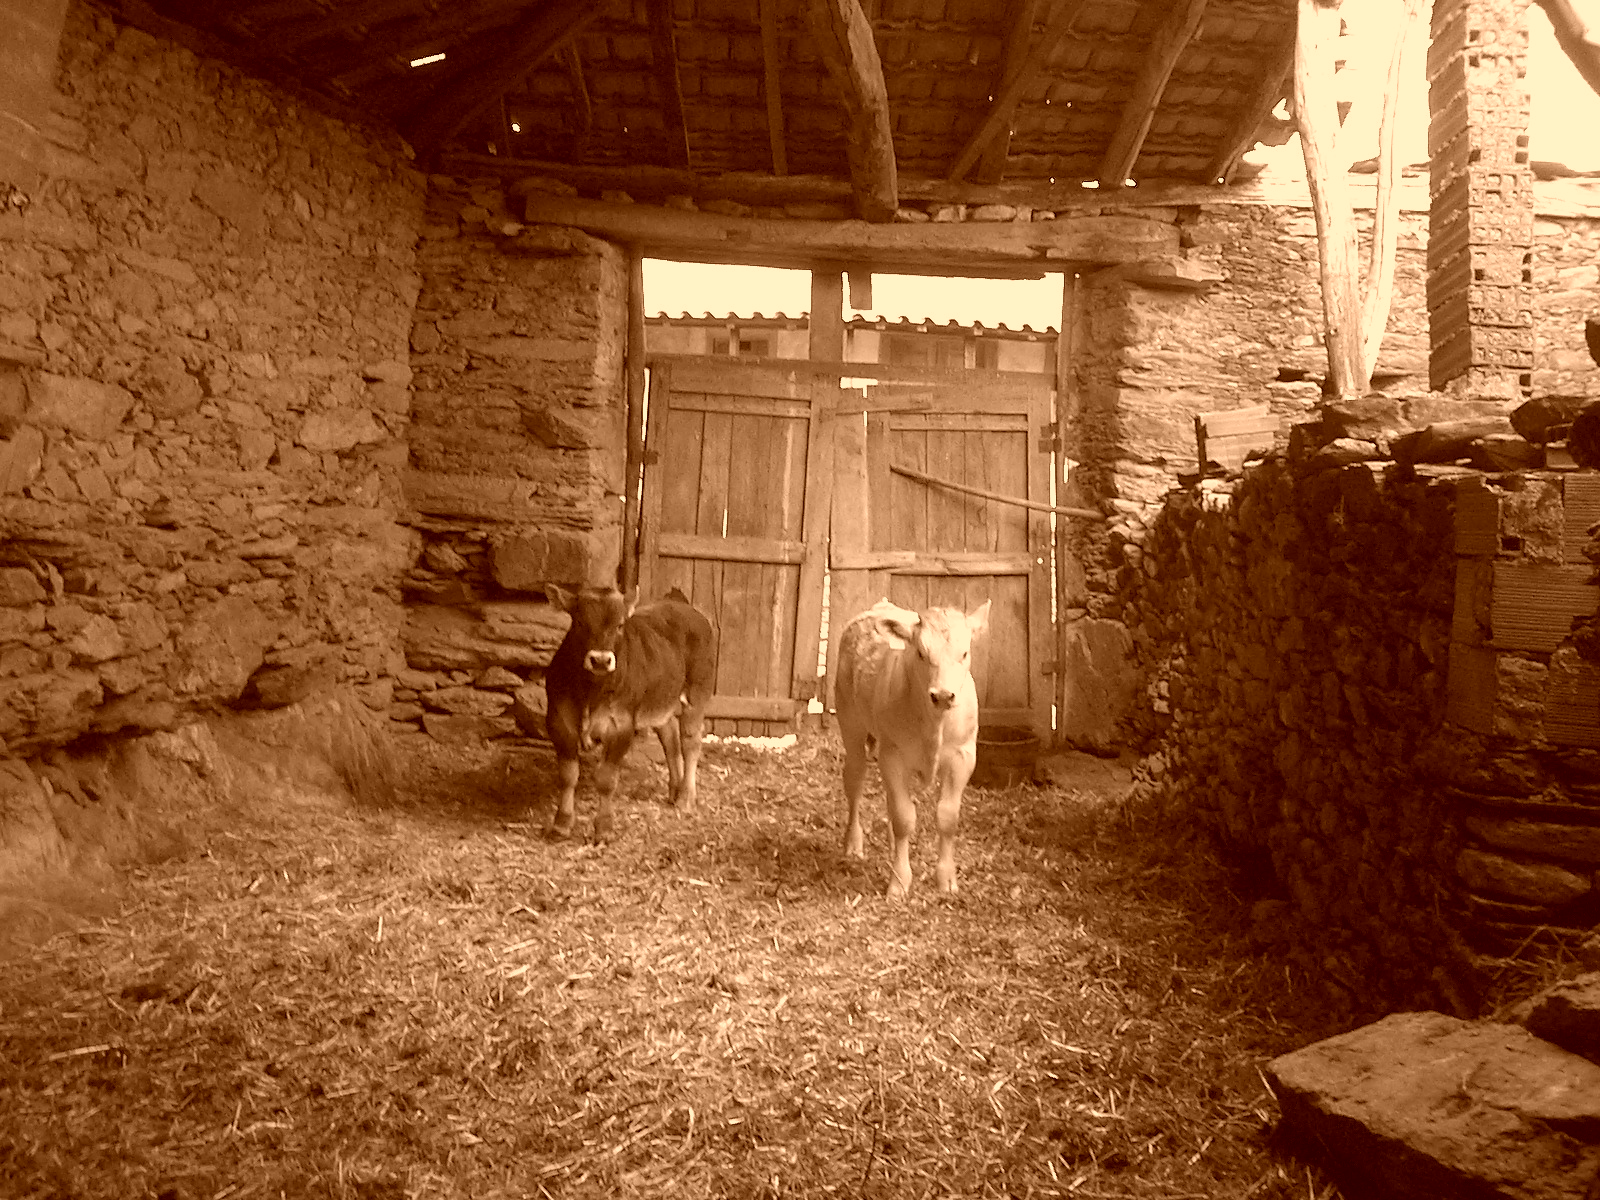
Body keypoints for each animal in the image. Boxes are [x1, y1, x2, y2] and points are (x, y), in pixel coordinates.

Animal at [542, 584, 717, 839]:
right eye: (580, 622)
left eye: (620, 625)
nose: (601, 660)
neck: (591, 690)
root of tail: (683, 605)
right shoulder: (559, 720)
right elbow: (567, 775)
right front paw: (561, 824)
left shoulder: (621, 725)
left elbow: (606, 779)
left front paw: (604, 827)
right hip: (660, 700)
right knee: (670, 739)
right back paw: (674, 791)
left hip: (697, 692)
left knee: (690, 743)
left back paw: (686, 798)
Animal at [833, 597, 991, 898]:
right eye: (920, 653)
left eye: (964, 653)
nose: (943, 695)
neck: (934, 725)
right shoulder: (893, 755)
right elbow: (904, 818)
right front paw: (899, 883)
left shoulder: (963, 756)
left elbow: (947, 817)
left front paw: (946, 879)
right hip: (851, 726)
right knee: (855, 783)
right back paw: (853, 844)